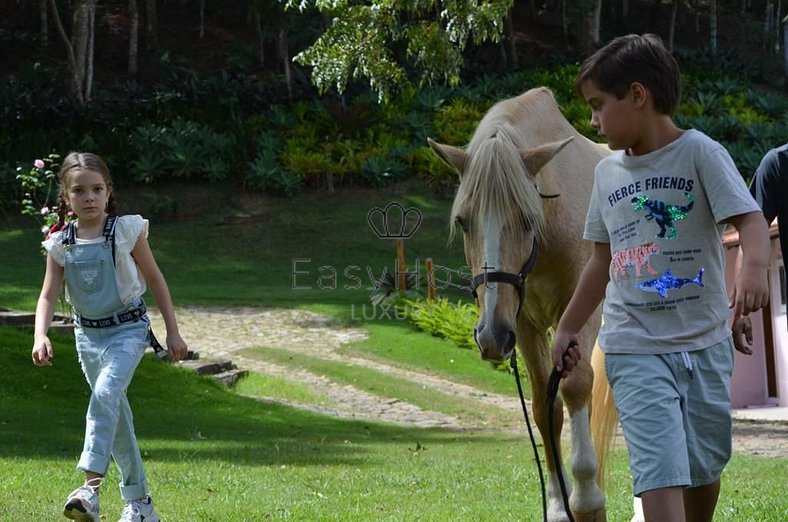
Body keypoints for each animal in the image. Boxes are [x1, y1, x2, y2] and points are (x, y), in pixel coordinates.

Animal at [430, 87, 616, 516]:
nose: (489, 336)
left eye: (528, 219)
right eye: (463, 222)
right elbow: (544, 407)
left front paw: (586, 495)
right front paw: (560, 504)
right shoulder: (524, 324)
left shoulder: (579, 314)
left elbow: (576, 387)